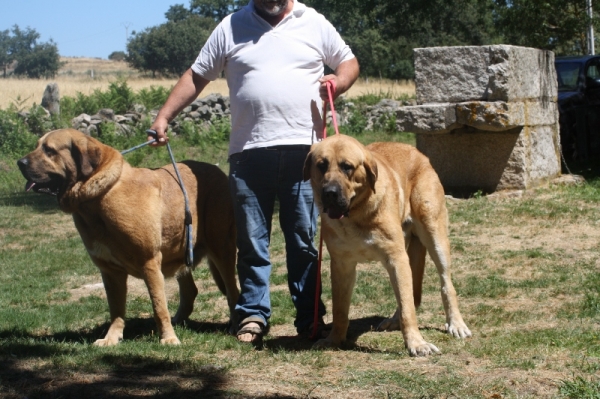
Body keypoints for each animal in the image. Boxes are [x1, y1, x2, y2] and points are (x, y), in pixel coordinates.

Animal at [15, 129, 239, 346]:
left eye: (49, 150)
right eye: (37, 146)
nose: (20, 162)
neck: (98, 198)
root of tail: (217, 171)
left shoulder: (149, 262)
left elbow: (159, 306)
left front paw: (168, 338)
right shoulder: (110, 271)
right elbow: (116, 310)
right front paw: (111, 338)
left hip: (221, 249)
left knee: (232, 291)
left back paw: (235, 325)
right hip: (182, 250)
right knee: (191, 290)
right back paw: (180, 320)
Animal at [302, 134, 472, 356]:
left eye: (347, 167)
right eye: (321, 165)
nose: (330, 193)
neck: (355, 214)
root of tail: (418, 153)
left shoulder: (396, 258)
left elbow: (409, 310)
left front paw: (416, 344)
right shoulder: (342, 265)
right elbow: (339, 309)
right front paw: (334, 339)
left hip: (435, 237)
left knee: (445, 285)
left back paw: (456, 324)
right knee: (410, 294)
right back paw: (394, 320)